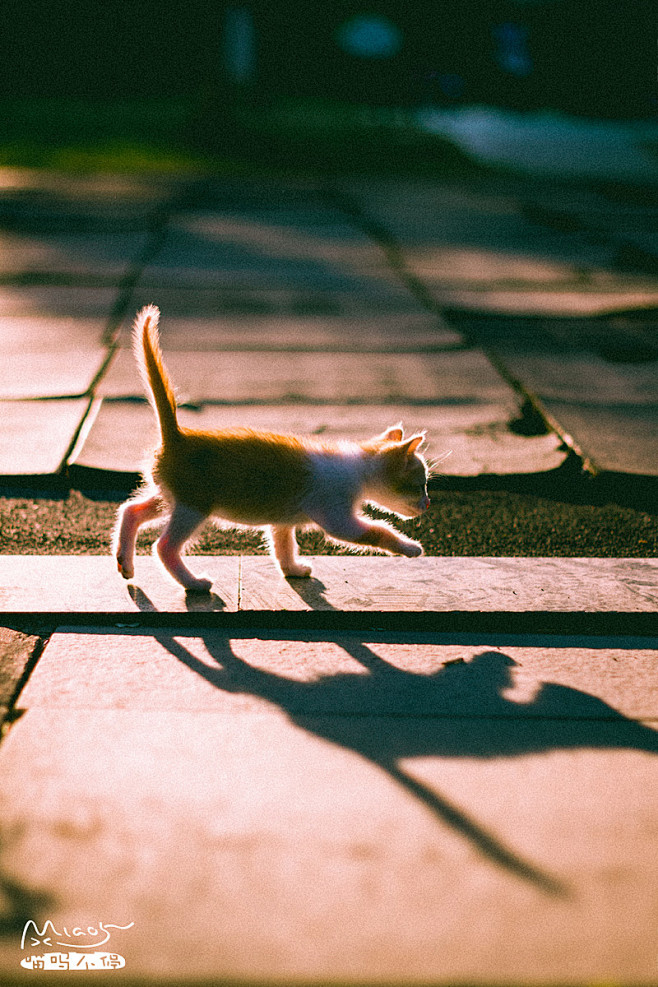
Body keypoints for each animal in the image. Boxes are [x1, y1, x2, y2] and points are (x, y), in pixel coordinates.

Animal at [114, 304, 428, 592]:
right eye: (418, 485)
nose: (427, 504)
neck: (357, 468)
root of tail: (178, 435)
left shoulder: (282, 519)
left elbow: (283, 545)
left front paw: (293, 570)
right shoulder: (336, 515)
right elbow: (377, 531)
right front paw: (410, 547)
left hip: (173, 496)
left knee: (131, 510)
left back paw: (125, 563)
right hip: (194, 504)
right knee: (164, 545)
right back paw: (193, 583)